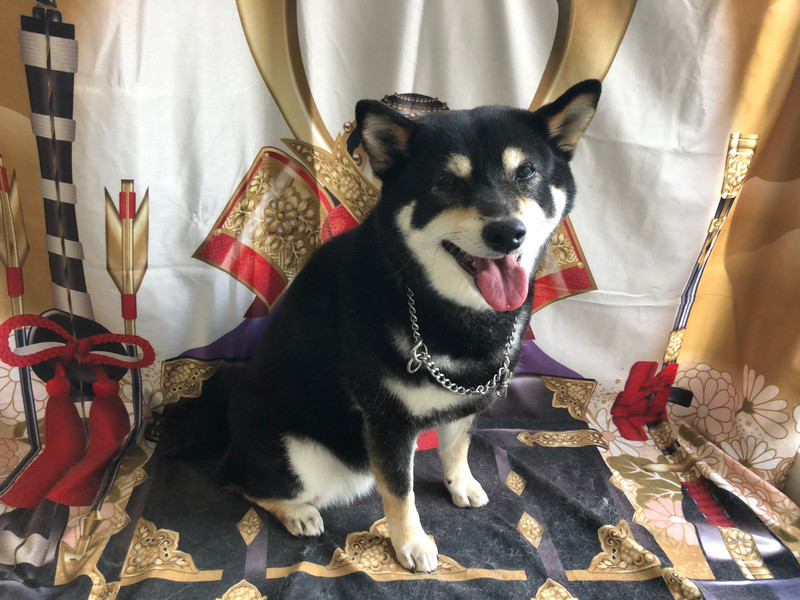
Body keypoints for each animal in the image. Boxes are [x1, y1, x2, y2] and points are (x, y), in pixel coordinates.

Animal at [220, 79, 601, 573]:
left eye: (527, 172)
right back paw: (297, 512)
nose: (507, 232)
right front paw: (412, 545)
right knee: (248, 484)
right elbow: (401, 492)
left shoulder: (468, 399)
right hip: (296, 455)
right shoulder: (387, 420)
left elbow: (456, 447)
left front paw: (461, 485)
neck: (445, 311)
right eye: (447, 182)